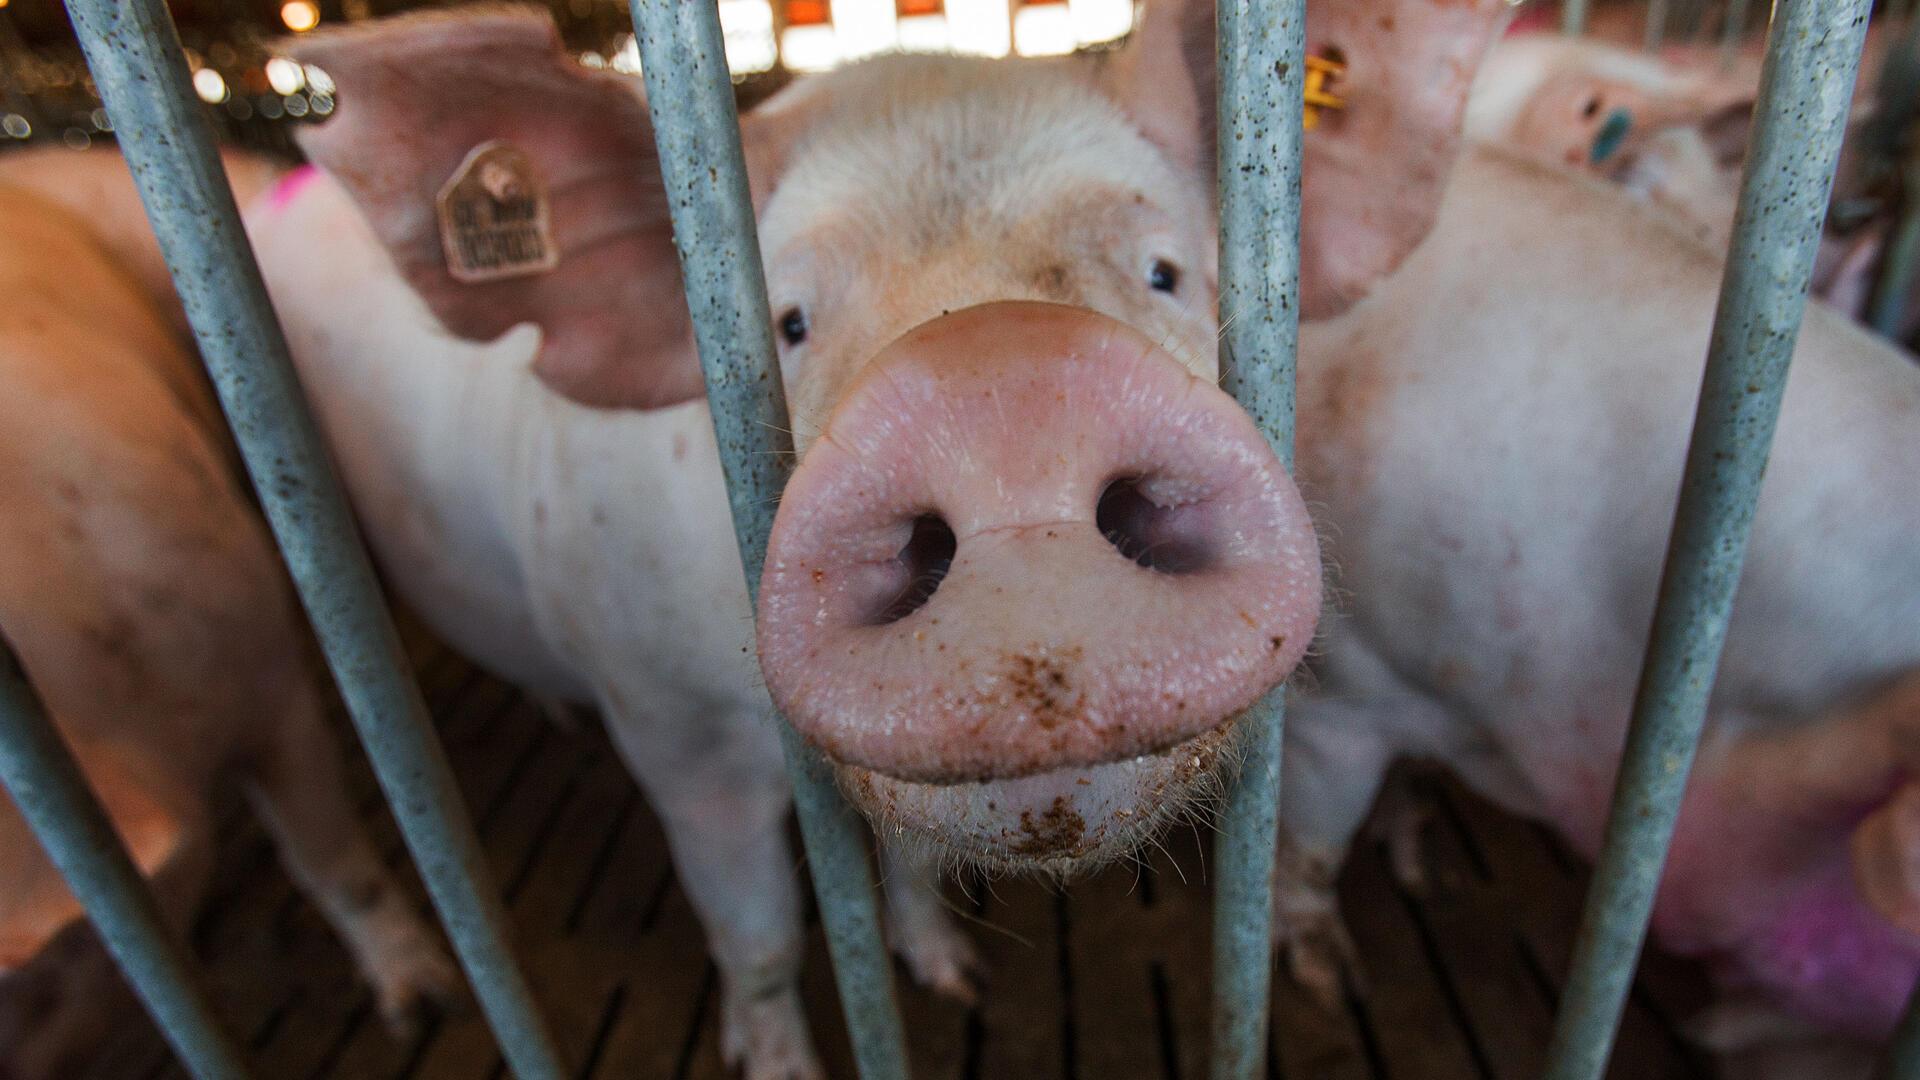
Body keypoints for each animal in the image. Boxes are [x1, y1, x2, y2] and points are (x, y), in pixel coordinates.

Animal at [228, 2, 1512, 1068]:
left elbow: (910, 864)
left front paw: (951, 983)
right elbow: (753, 942)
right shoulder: (672, 733)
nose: (1002, 383)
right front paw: (783, 1061)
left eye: (1166, 271)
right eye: (790, 321)